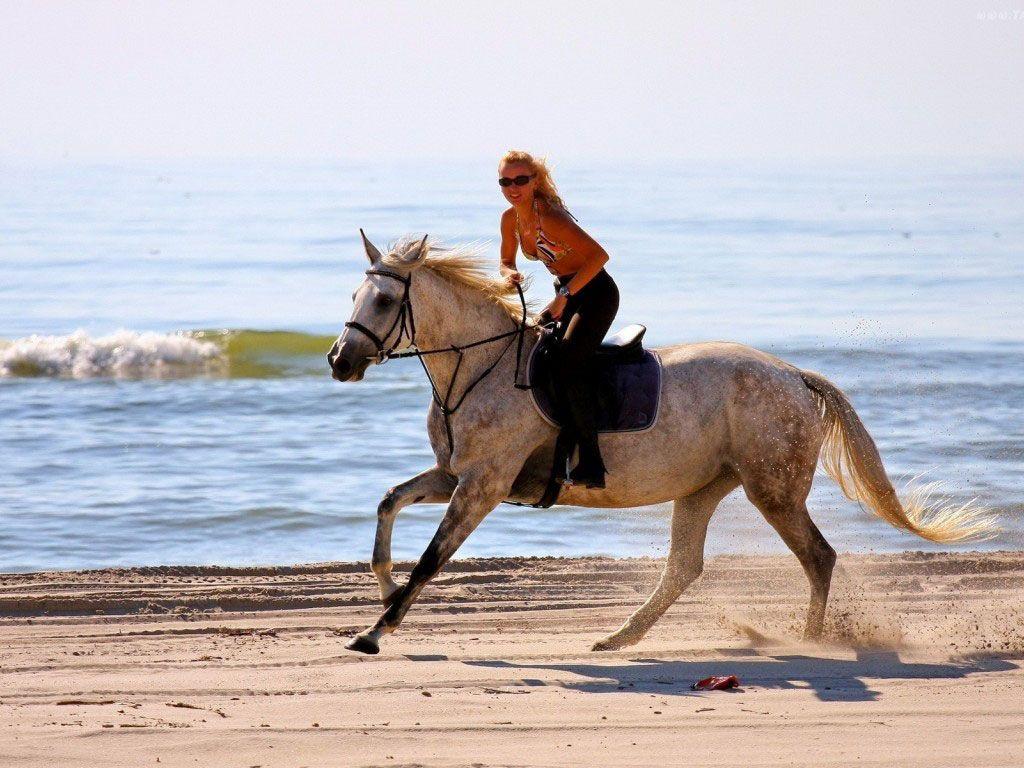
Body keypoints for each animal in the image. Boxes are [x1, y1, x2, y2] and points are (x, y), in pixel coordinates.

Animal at [325, 233, 991, 655]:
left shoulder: (483, 486)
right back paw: (620, 637)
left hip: (771, 490)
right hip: (705, 487)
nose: (338, 361)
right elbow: (389, 503)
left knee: (817, 557)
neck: (480, 368)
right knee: (683, 567)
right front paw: (383, 590)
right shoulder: (456, 475)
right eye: (353, 297)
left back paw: (809, 641)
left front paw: (374, 632)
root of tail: (794, 376)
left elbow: (432, 558)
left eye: (384, 299)